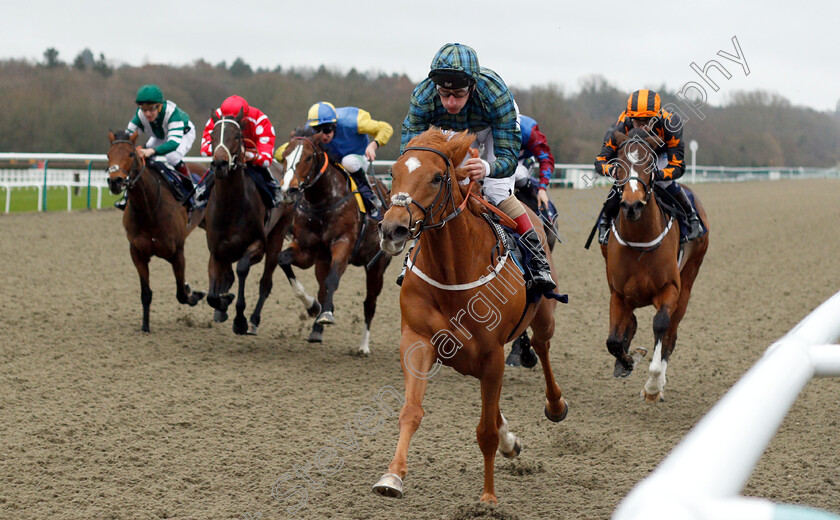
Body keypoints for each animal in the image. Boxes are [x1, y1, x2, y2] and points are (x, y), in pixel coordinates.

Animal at [106, 130, 206, 334]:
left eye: (131, 154)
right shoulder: (137, 252)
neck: (149, 207)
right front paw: (145, 326)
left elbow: (181, 294)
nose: (115, 181)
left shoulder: (177, 253)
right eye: (108, 155)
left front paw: (194, 294)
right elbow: (146, 293)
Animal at [205, 111, 290, 336]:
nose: (220, 164)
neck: (231, 206)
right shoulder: (216, 251)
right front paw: (224, 302)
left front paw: (240, 320)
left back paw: (253, 320)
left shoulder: (257, 245)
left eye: (236, 136)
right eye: (212, 135)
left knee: (265, 283)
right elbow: (212, 296)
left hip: (278, 234)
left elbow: (242, 269)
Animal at [278, 127, 390, 354]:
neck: (322, 202)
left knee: (370, 302)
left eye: (308, 157)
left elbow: (333, 280)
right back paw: (316, 328)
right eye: (284, 156)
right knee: (322, 289)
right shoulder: (308, 250)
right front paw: (313, 307)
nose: (288, 191)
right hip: (322, 261)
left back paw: (363, 346)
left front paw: (327, 314)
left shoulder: (343, 244)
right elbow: (283, 260)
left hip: (377, 266)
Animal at [378, 129, 568, 504]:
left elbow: (486, 432)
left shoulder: (492, 354)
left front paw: (488, 498)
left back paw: (555, 405)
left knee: (542, 347)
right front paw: (392, 476)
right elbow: (411, 410)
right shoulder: (418, 340)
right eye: (392, 172)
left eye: (437, 177)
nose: (393, 229)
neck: (453, 271)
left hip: (543, 316)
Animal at [600, 129, 712, 402]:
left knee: (672, 330)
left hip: (690, 277)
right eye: (619, 163)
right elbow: (613, 341)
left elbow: (661, 325)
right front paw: (628, 362)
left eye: (649, 163)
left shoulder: (669, 287)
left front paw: (651, 385)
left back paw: (658, 382)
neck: (640, 241)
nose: (632, 205)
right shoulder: (618, 293)